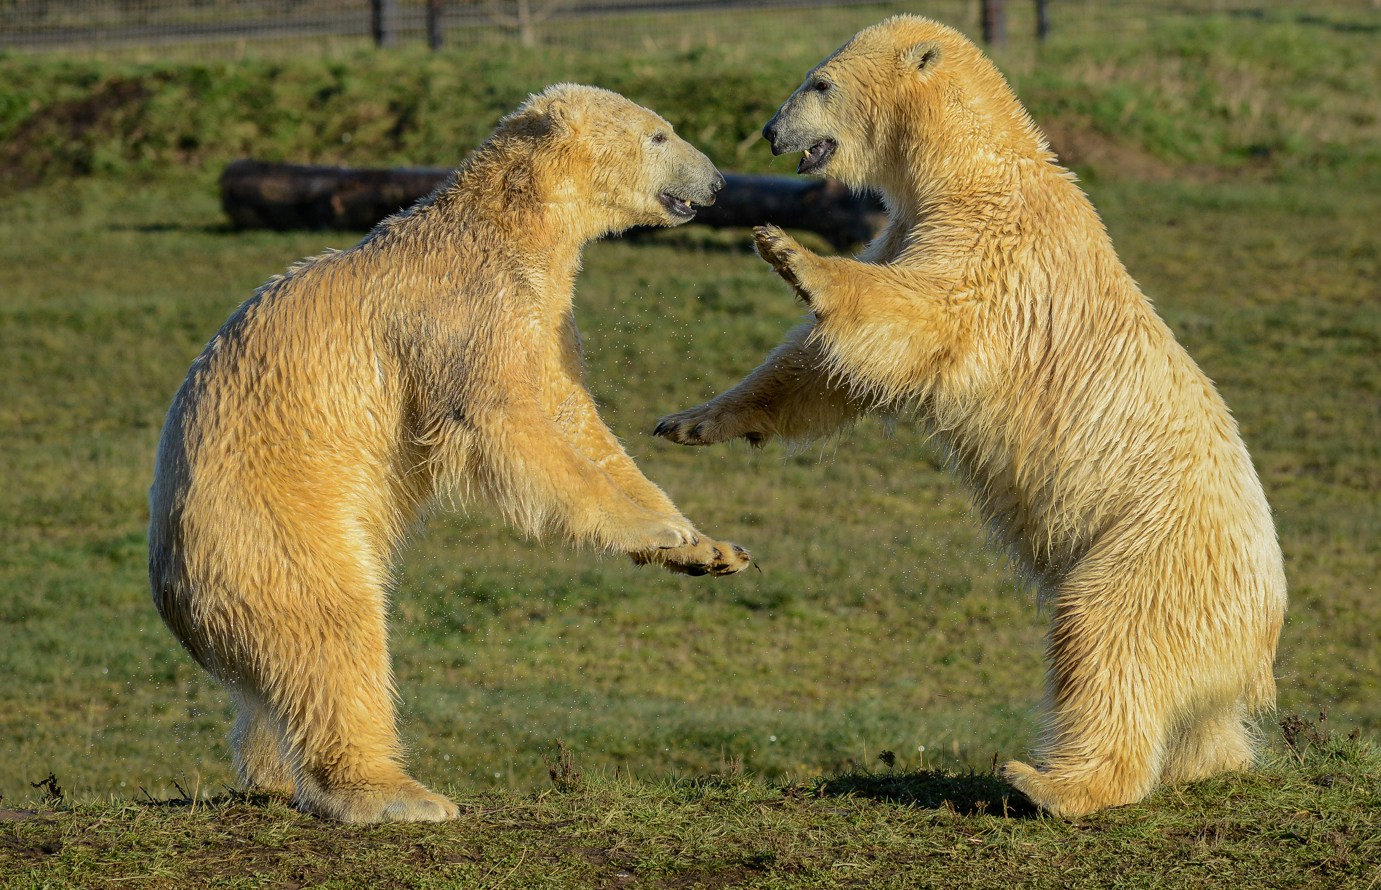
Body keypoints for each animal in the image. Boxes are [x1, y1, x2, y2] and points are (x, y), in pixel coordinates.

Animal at [149, 87, 751, 823]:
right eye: (660, 134)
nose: (719, 183)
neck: (499, 227)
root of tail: (171, 583)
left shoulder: (541, 322)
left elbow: (578, 423)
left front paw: (706, 547)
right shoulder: (463, 311)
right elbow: (505, 424)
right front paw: (658, 529)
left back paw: (272, 774)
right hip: (274, 526)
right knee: (335, 633)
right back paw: (397, 794)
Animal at [654, 15, 1281, 818]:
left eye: (818, 83)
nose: (768, 132)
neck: (977, 165)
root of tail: (1262, 635)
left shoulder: (993, 246)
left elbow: (916, 314)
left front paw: (788, 251)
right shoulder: (914, 227)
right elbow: (827, 371)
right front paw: (692, 421)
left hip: (1153, 553)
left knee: (1106, 639)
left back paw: (1048, 783)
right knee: (1195, 710)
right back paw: (1201, 764)